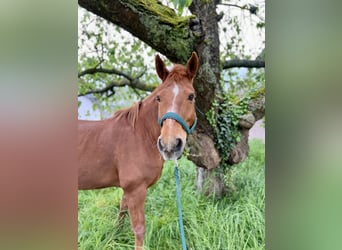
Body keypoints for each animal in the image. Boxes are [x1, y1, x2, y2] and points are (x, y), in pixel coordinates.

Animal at [78, 52, 198, 248]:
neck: (140, 135)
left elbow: (121, 212)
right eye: (159, 98)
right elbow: (139, 229)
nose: (170, 145)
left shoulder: (128, 190)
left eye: (191, 96)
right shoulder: (136, 189)